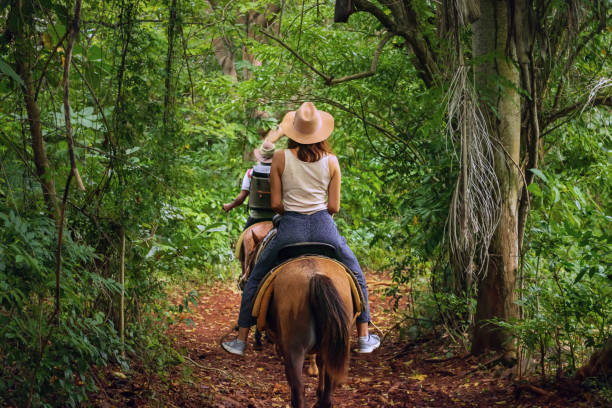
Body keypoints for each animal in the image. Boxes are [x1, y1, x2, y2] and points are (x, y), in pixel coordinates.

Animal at [266, 256, 352, 406]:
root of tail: (316, 275)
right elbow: (321, 362)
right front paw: (319, 391)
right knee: (329, 382)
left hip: (295, 348)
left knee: (298, 387)